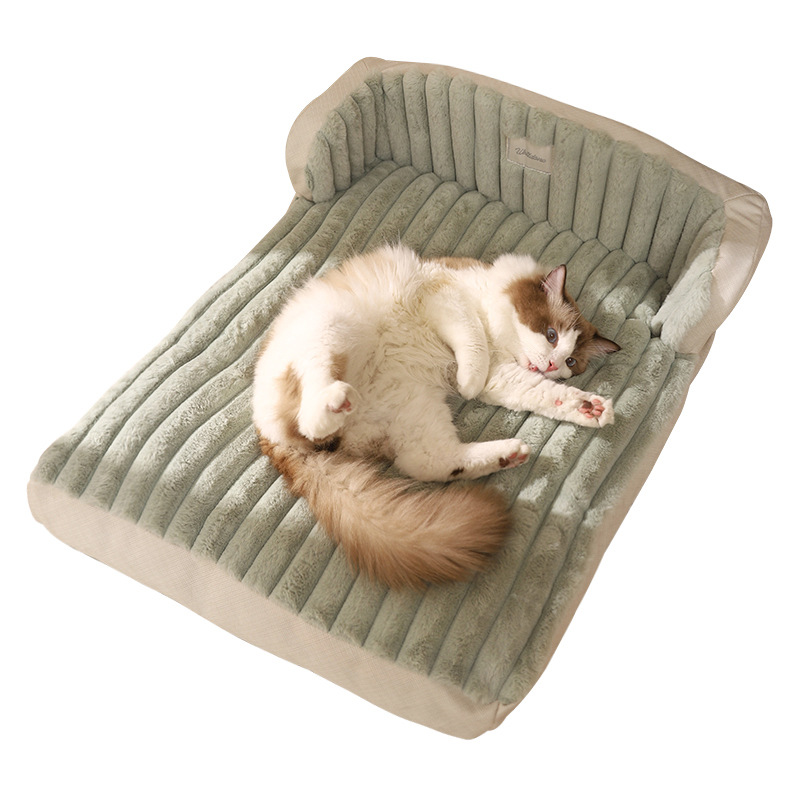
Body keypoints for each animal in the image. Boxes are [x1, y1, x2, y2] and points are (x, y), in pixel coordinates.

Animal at [252, 244, 620, 589]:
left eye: (570, 362)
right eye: (551, 335)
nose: (552, 365)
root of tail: (269, 442)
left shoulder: (502, 374)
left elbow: (546, 395)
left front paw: (591, 408)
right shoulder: (446, 296)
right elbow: (473, 342)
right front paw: (467, 382)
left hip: (416, 406)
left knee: (428, 462)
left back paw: (509, 454)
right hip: (330, 329)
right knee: (309, 418)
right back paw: (336, 400)